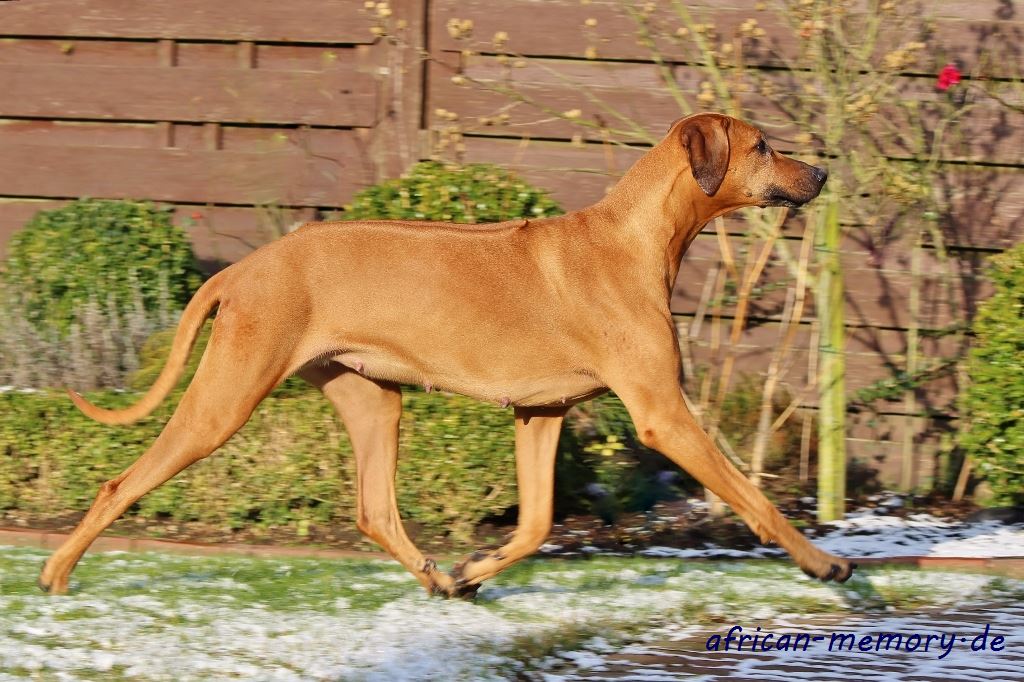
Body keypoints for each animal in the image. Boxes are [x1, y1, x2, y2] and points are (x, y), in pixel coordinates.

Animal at [40, 113, 855, 596]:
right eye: (764, 146)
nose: (822, 174)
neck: (633, 237)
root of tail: (244, 269)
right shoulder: (663, 414)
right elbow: (754, 495)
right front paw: (823, 562)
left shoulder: (540, 414)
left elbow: (536, 525)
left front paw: (474, 567)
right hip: (226, 398)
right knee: (120, 482)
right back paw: (55, 571)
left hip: (374, 400)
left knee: (374, 510)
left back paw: (437, 577)